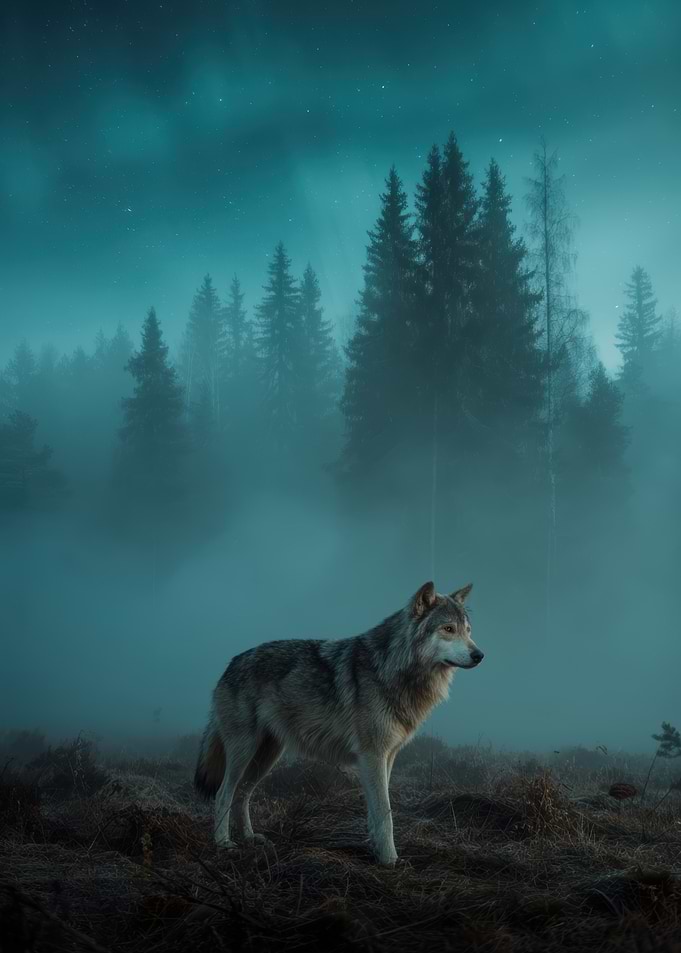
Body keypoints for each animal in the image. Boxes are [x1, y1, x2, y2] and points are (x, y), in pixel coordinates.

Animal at [194, 580, 483, 866]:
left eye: (468, 630)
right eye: (449, 629)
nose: (480, 655)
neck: (392, 667)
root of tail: (230, 664)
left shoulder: (388, 756)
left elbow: (378, 810)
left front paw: (374, 847)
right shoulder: (372, 755)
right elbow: (385, 813)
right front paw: (390, 860)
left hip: (267, 757)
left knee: (242, 794)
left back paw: (250, 838)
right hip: (244, 752)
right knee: (224, 793)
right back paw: (224, 843)